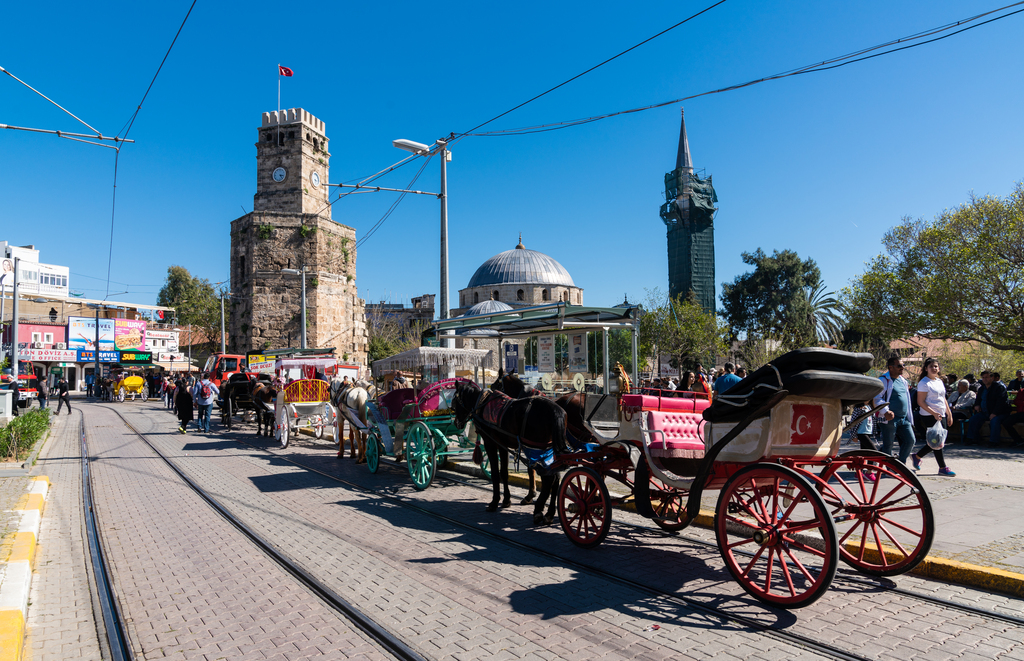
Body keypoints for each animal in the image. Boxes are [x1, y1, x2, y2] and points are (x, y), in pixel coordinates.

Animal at [456, 380, 569, 523]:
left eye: (454, 400)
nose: (456, 423)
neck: (481, 403)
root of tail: (556, 410)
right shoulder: (502, 445)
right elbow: (504, 473)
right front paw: (506, 500)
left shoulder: (490, 443)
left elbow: (495, 473)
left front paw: (494, 502)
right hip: (550, 450)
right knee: (556, 477)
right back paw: (549, 513)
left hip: (539, 450)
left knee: (549, 479)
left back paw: (538, 509)